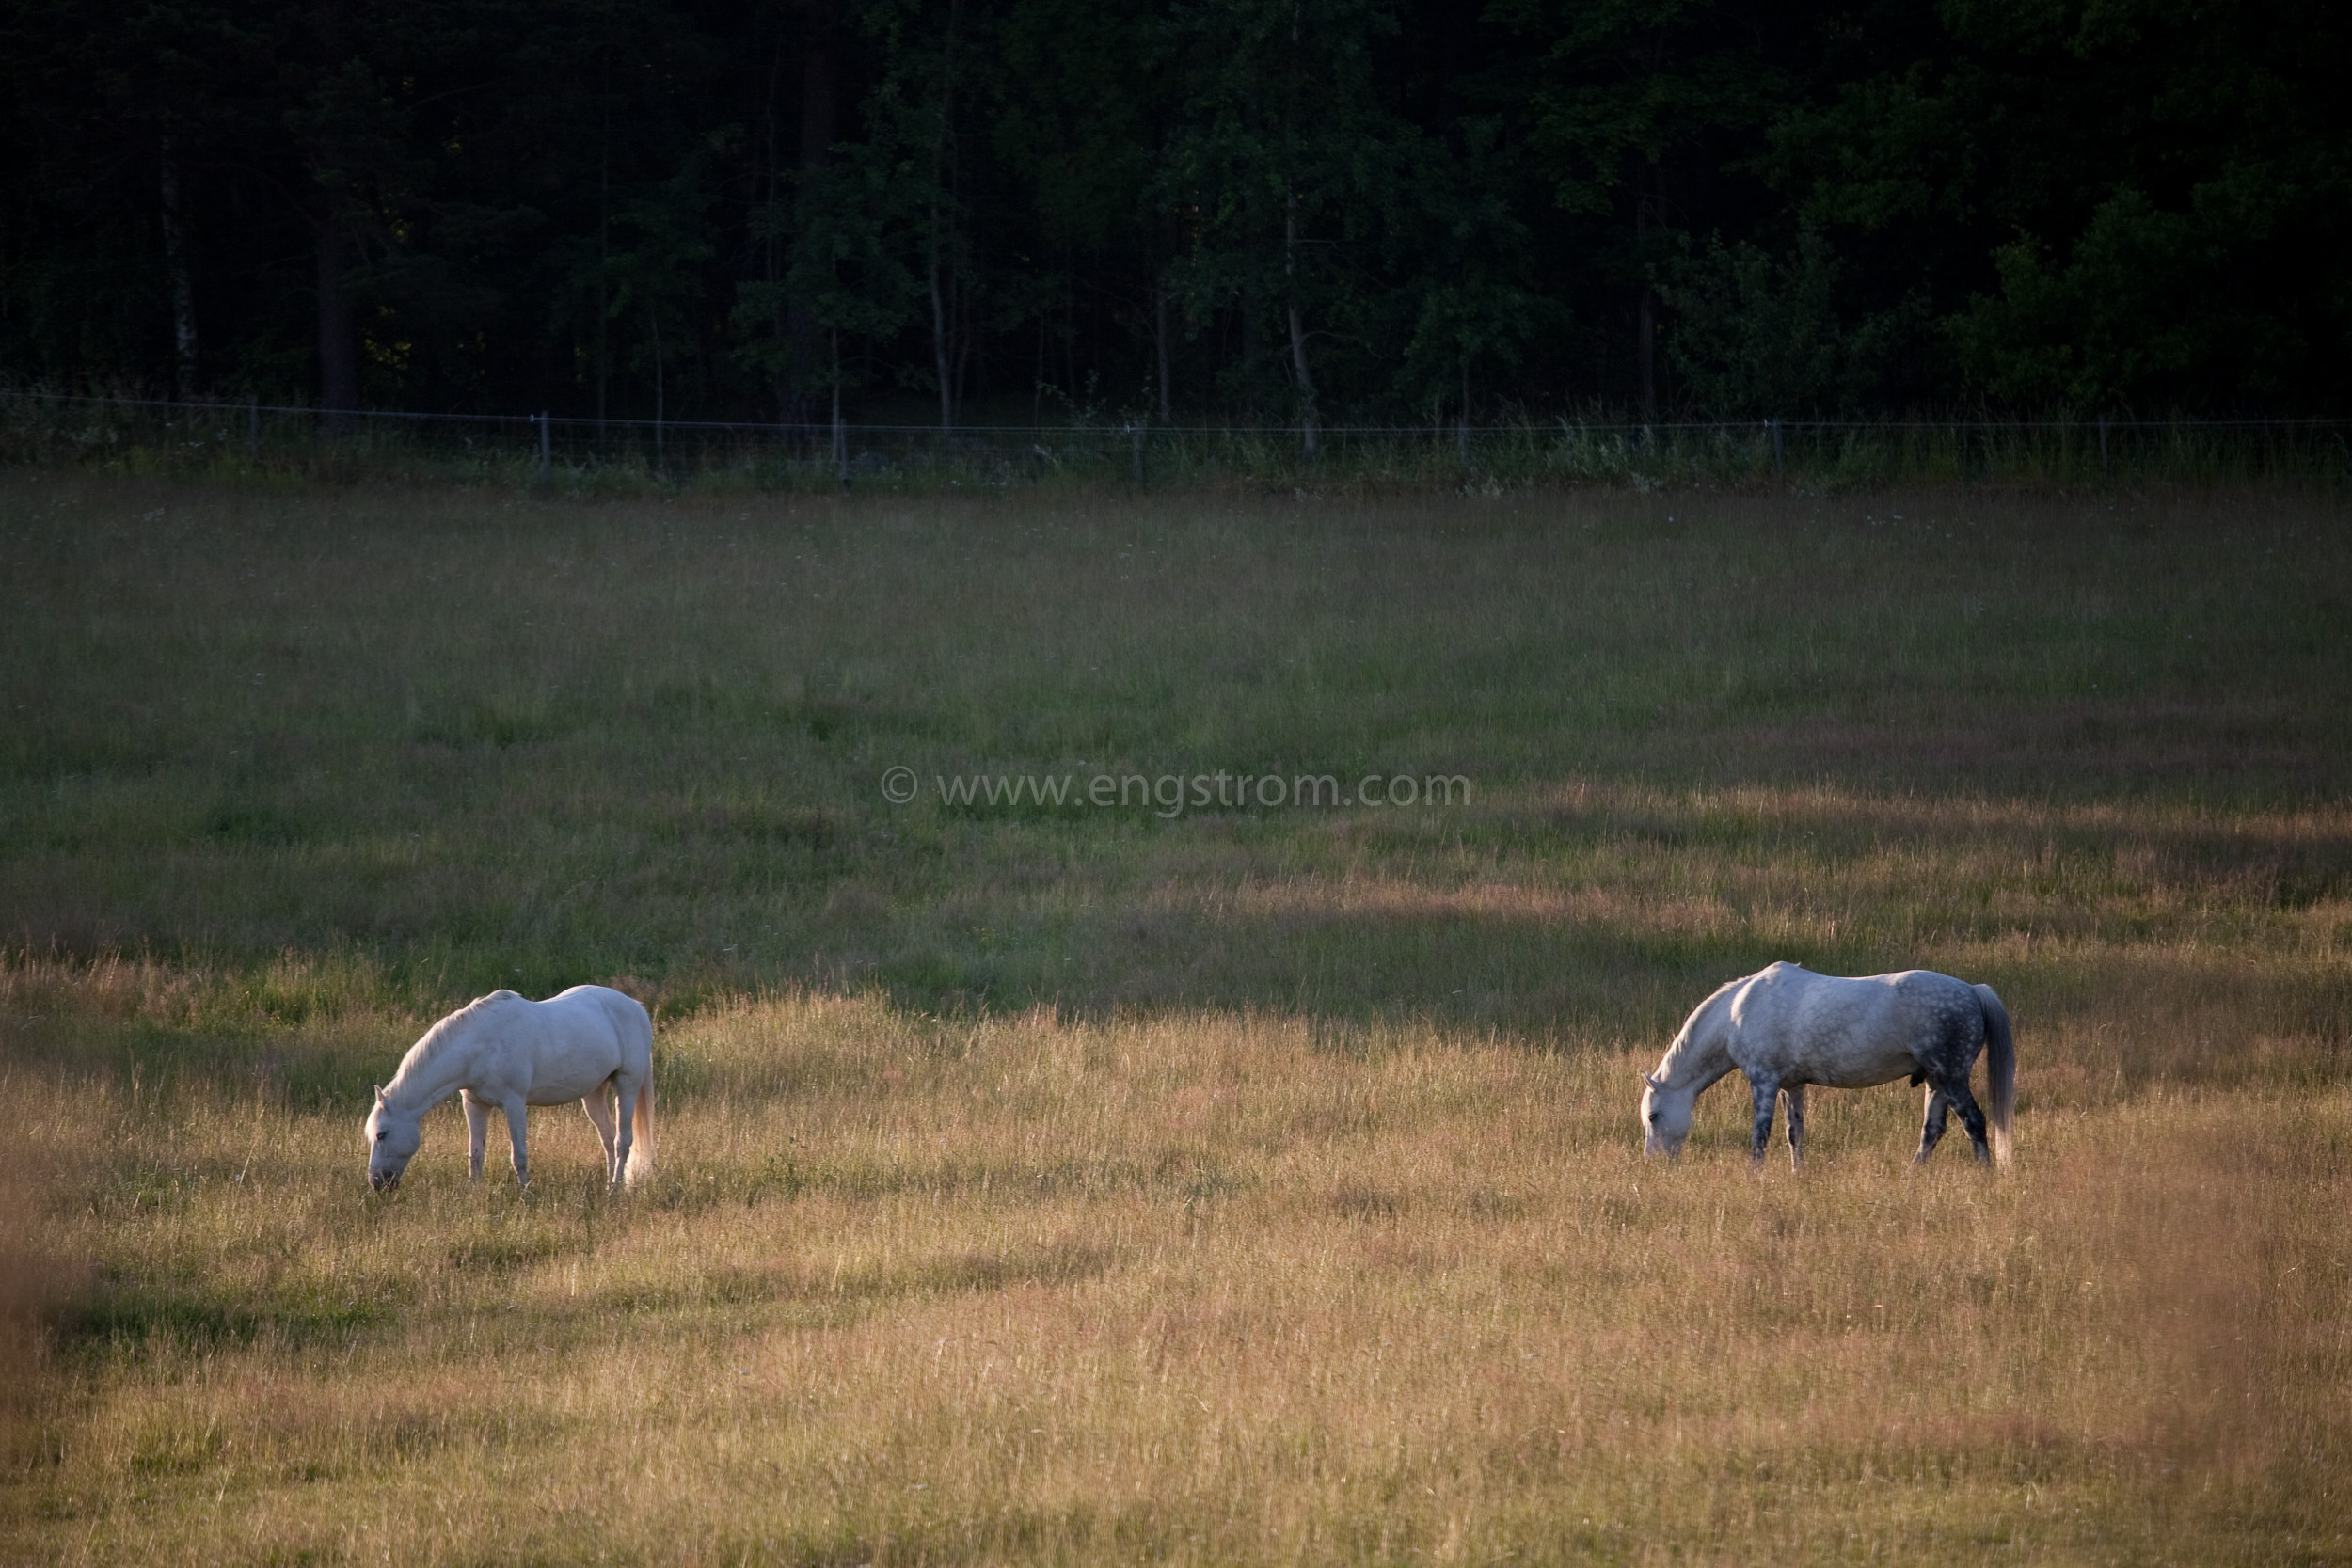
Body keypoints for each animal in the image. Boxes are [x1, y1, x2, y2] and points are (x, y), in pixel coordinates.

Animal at [369, 987, 659, 1194]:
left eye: (382, 1134)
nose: (377, 1183)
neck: (479, 1045)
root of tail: (636, 1007)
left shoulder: (514, 1103)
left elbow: (518, 1155)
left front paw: (525, 1196)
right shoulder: (474, 1105)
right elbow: (476, 1155)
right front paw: (474, 1195)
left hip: (627, 1085)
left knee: (622, 1142)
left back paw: (615, 1191)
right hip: (593, 1093)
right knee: (608, 1139)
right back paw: (609, 1185)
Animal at [1637, 963, 2023, 1170]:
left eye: (1654, 1116)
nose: (1652, 1161)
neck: (1737, 1012)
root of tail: (1973, 991)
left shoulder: (1763, 1081)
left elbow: (1760, 1136)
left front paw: (1754, 1176)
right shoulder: (1791, 1086)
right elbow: (1795, 1134)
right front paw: (1799, 1175)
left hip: (1952, 1077)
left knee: (1974, 1123)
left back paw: (1985, 1175)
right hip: (1936, 1081)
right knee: (1933, 1131)